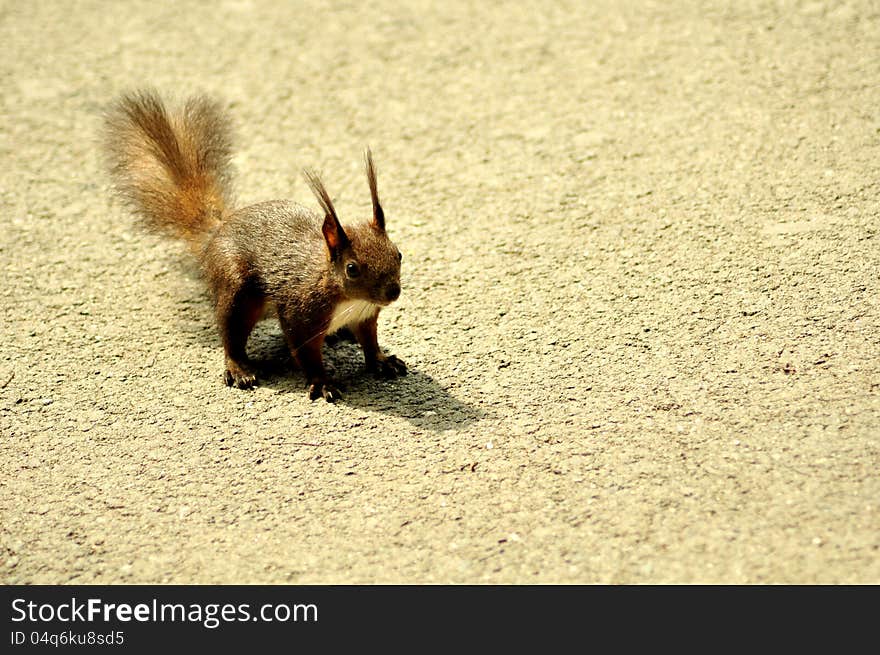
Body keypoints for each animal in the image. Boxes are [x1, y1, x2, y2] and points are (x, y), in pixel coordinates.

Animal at [103, 89, 406, 402]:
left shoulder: (365, 316)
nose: (393, 292)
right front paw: (322, 382)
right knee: (231, 335)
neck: (348, 298)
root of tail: (217, 232)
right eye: (352, 269)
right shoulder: (300, 315)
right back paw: (239, 369)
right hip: (236, 289)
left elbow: (370, 341)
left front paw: (382, 360)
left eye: (398, 254)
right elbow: (306, 355)